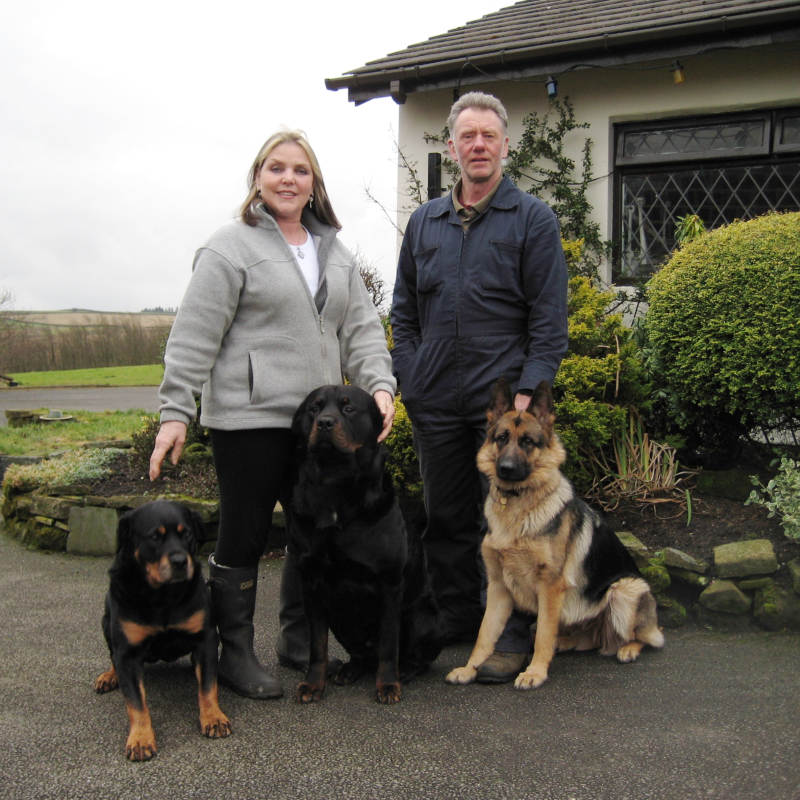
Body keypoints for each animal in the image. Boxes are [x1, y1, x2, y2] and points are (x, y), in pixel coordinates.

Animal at [95, 504, 231, 760]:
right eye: (154, 537)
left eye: (186, 533)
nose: (179, 561)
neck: (162, 596)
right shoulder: (127, 653)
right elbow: (136, 702)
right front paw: (140, 739)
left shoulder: (205, 639)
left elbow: (208, 686)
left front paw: (213, 717)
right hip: (106, 622)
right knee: (112, 656)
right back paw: (109, 676)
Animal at [290, 384, 440, 704]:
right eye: (314, 408)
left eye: (348, 408)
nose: (324, 423)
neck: (334, 486)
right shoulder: (311, 581)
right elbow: (317, 644)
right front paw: (313, 683)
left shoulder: (389, 583)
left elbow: (389, 643)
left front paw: (388, 684)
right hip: (340, 618)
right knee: (361, 653)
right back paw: (350, 669)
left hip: (424, 618)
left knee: (412, 655)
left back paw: (406, 671)